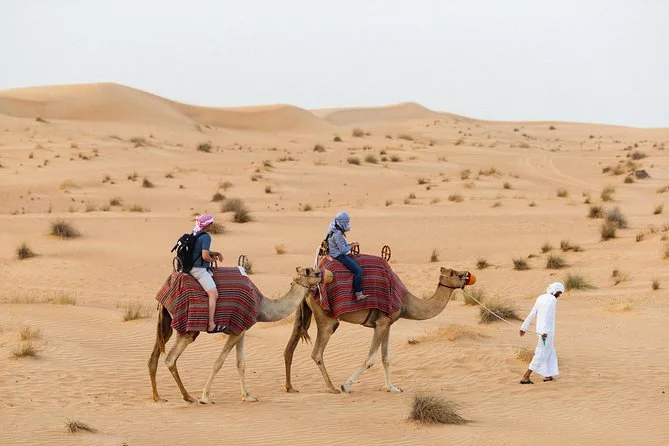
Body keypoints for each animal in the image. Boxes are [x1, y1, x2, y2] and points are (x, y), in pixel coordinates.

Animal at [150, 264, 330, 404]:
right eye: (314, 272)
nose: (327, 275)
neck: (261, 306)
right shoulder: (236, 329)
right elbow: (218, 362)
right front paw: (205, 397)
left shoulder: (241, 330)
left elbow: (241, 364)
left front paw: (247, 396)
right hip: (189, 329)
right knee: (170, 359)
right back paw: (187, 396)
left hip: (165, 325)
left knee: (154, 357)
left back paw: (158, 397)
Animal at [284, 264, 472, 394]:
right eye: (455, 273)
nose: (467, 275)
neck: (406, 302)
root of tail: (309, 289)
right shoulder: (381, 324)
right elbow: (370, 359)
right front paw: (346, 385)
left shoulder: (387, 323)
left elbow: (386, 358)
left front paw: (392, 388)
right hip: (326, 319)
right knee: (317, 352)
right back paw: (332, 388)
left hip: (303, 315)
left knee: (289, 349)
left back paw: (290, 387)